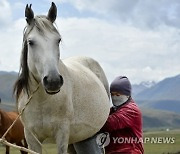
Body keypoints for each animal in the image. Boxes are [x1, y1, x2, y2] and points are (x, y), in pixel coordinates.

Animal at [14, 2, 109, 154]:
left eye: (58, 40)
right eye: (31, 42)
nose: (53, 81)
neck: (42, 101)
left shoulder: (62, 133)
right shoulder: (31, 137)